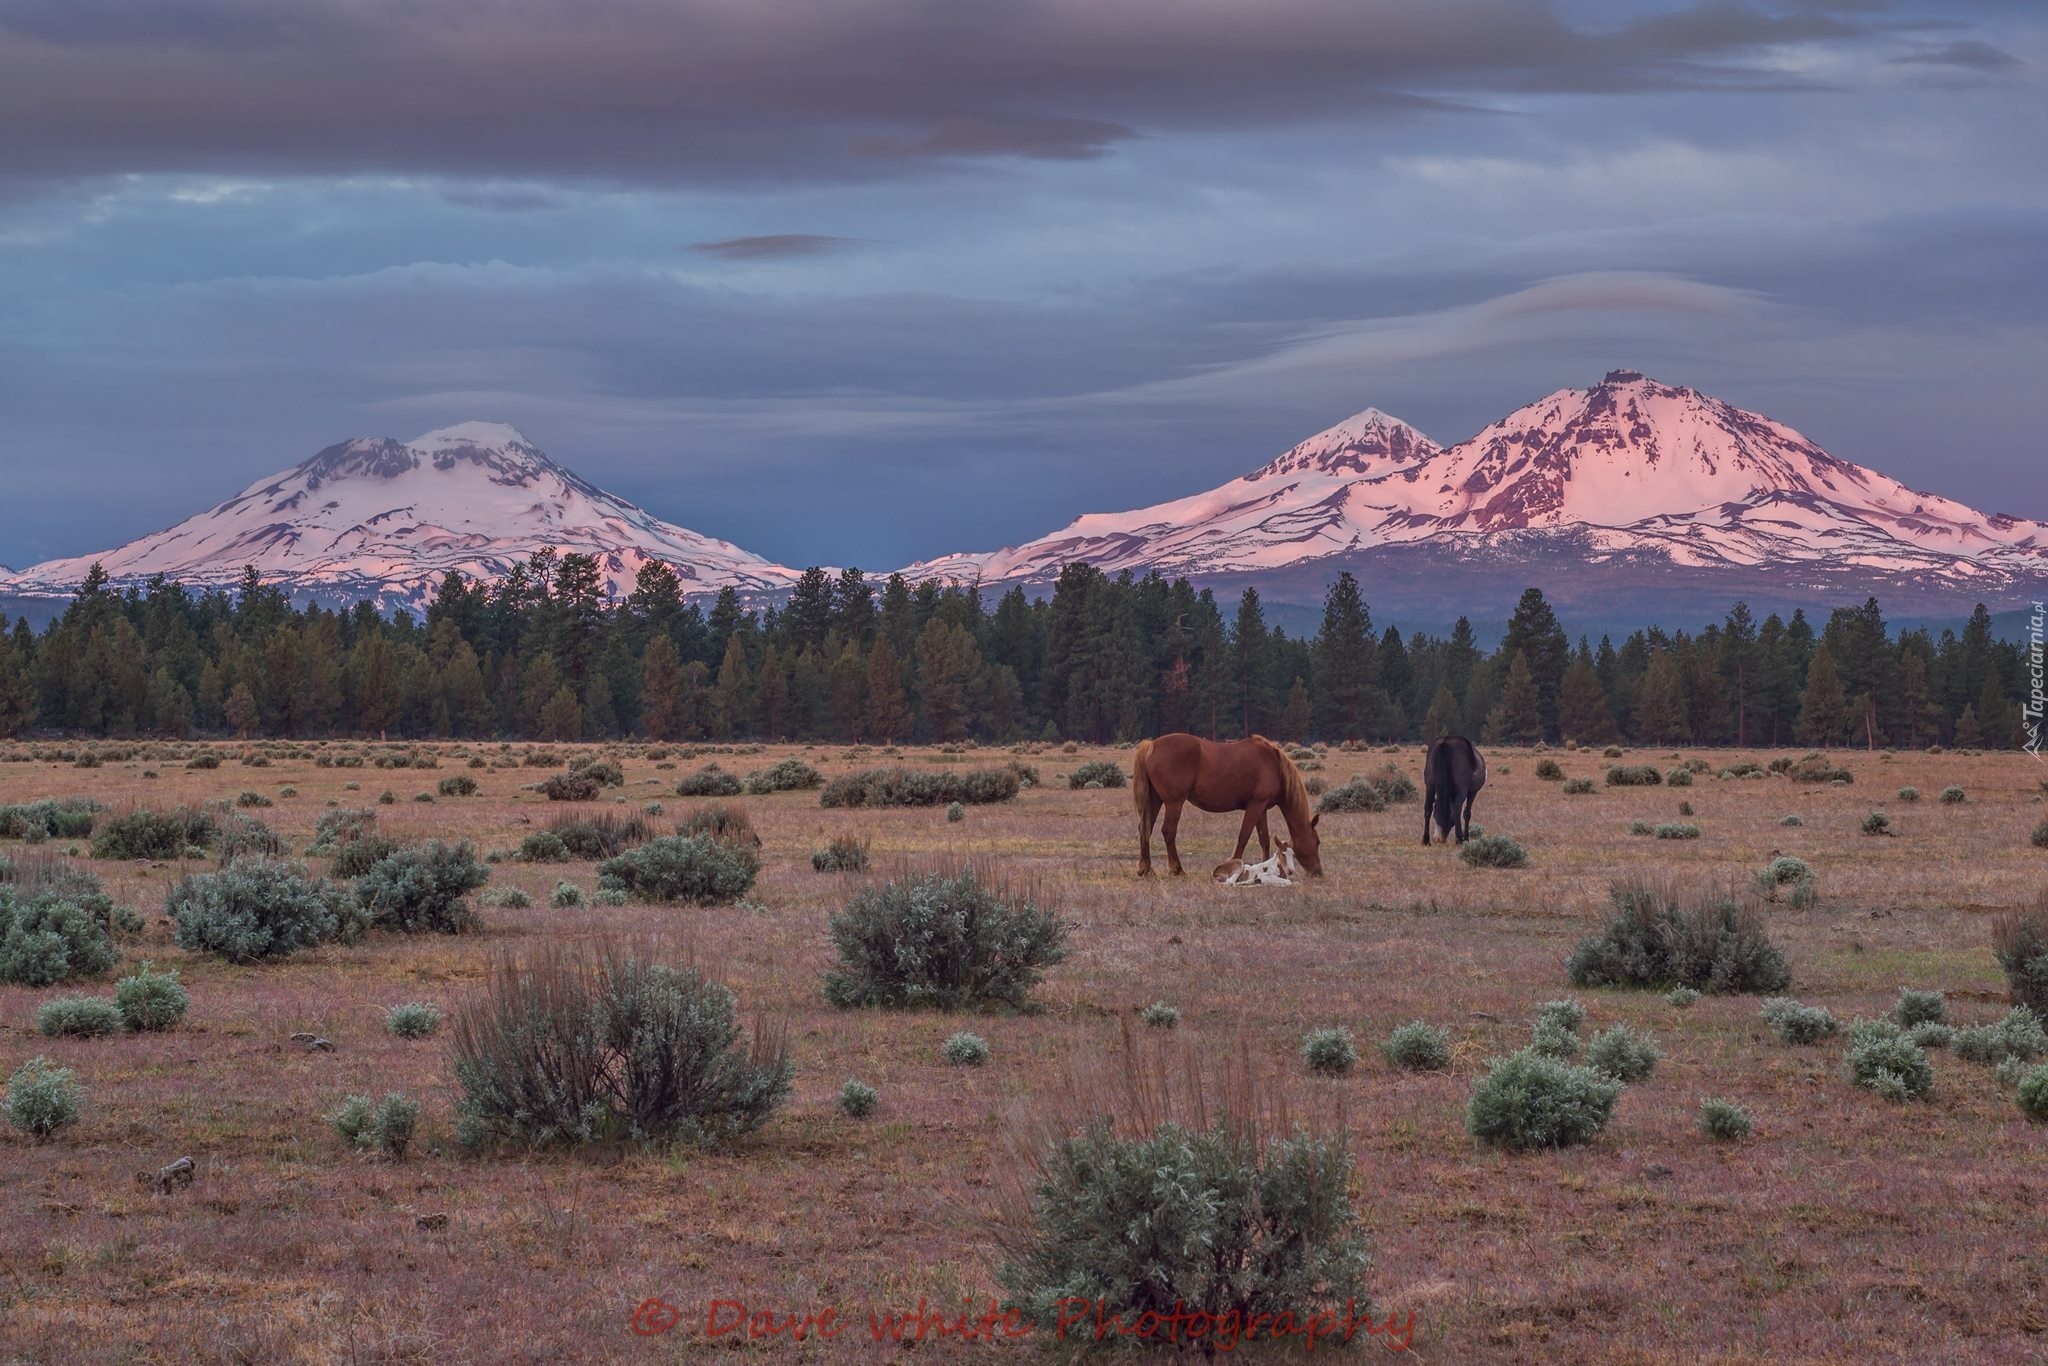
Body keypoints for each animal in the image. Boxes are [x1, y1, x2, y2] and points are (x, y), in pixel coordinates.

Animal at [1130, 737, 1318, 876]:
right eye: (1317, 842)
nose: (1318, 872)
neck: (1273, 764)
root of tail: (1152, 745)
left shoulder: (1261, 808)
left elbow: (1264, 839)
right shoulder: (1255, 806)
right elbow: (1243, 837)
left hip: (1154, 801)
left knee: (1145, 829)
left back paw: (1145, 869)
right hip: (1174, 803)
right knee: (1168, 831)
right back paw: (1177, 869)